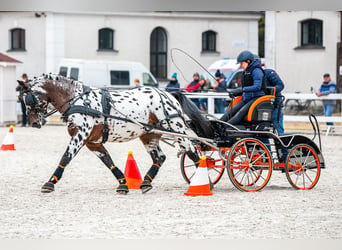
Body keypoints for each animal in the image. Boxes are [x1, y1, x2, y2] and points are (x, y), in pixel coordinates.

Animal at [19, 73, 214, 194]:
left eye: (30, 98)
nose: (34, 123)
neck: (77, 99)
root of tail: (169, 95)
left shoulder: (80, 136)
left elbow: (66, 157)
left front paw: (50, 182)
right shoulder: (93, 141)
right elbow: (108, 161)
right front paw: (122, 184)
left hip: (176, 128)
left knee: (192, 150)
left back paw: (204, 182)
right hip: (149, 135)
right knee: (159, 157)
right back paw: (146, 183)